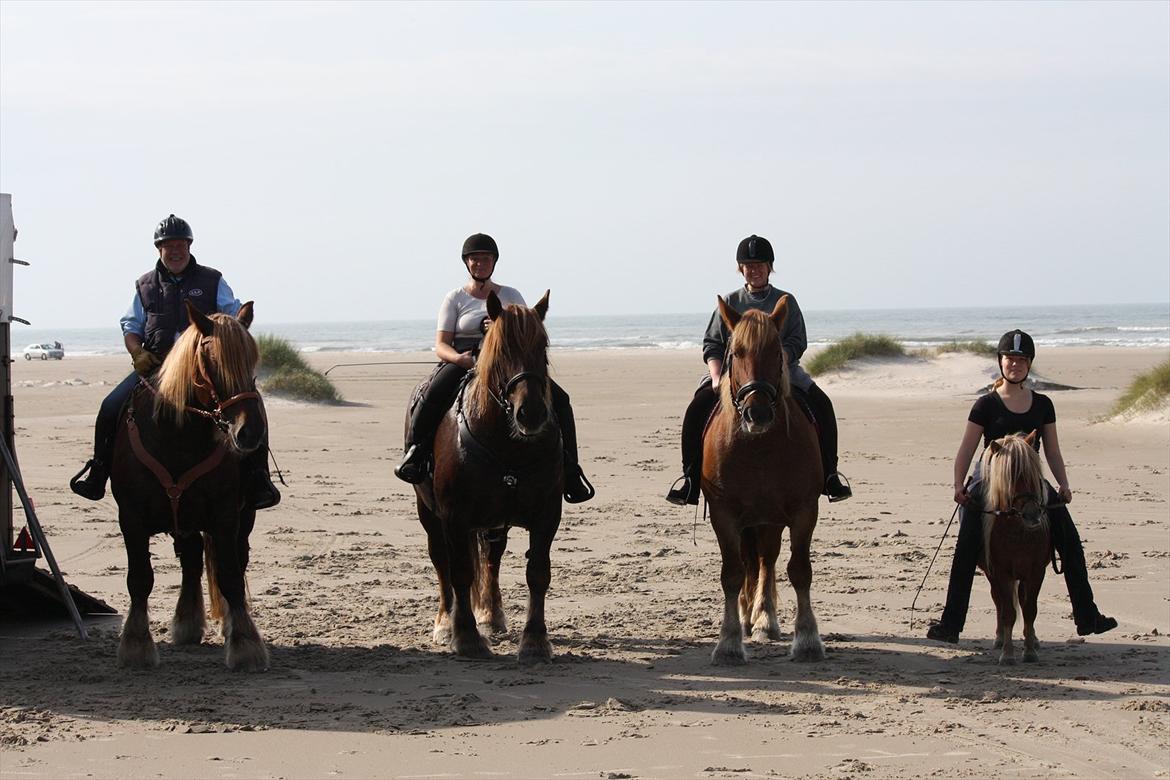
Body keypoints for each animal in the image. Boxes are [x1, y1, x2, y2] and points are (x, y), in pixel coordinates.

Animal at [109, 299, 269, 673]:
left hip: (241, 517)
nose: (249, 433)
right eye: (212, 363)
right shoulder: (131, 519)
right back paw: (186, 622)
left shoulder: (226, 516)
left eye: (252, 360)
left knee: (231, 560)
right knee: (193, 558)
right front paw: (135, 645)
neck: (178, 438)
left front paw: (245, 644)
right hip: (182, 520)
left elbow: (230, 575)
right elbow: (140, 578)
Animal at [407, 290, 561, 664]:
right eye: (502, 350)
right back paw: (445, 623)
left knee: (492, 559)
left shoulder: (547, 514)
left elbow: (538, 573)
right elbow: (460, 571)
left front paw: (535, 641)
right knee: (441, 562)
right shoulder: (454, 516)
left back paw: (491, 617)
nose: (531, 414)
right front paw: (466, 638)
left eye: (542, 346)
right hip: (429, 513)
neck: (507, 443)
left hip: (494, 522)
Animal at [697, 297, 828, 664]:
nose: (758, 413)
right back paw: (746, 618)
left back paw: (765, 619)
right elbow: (731, 573)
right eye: (736, 352)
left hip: (769, 520)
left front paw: (807, 639)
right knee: (749, 563)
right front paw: (728, 643)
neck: (758, 447)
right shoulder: (724, 513)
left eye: (775, 351)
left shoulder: (803, 510)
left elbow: (799, 570)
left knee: (766, 561)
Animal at [978, 432, 1053, 664]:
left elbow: (1030, 609)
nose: (1032, 515)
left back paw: (1033, 639)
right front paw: (1008, 653)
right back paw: (1000, 637)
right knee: (998, 601)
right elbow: (1008, 612)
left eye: (1034, 476)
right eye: (1011, 479)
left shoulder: (1036, 571)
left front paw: (1029, 650)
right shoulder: (1002, 572)